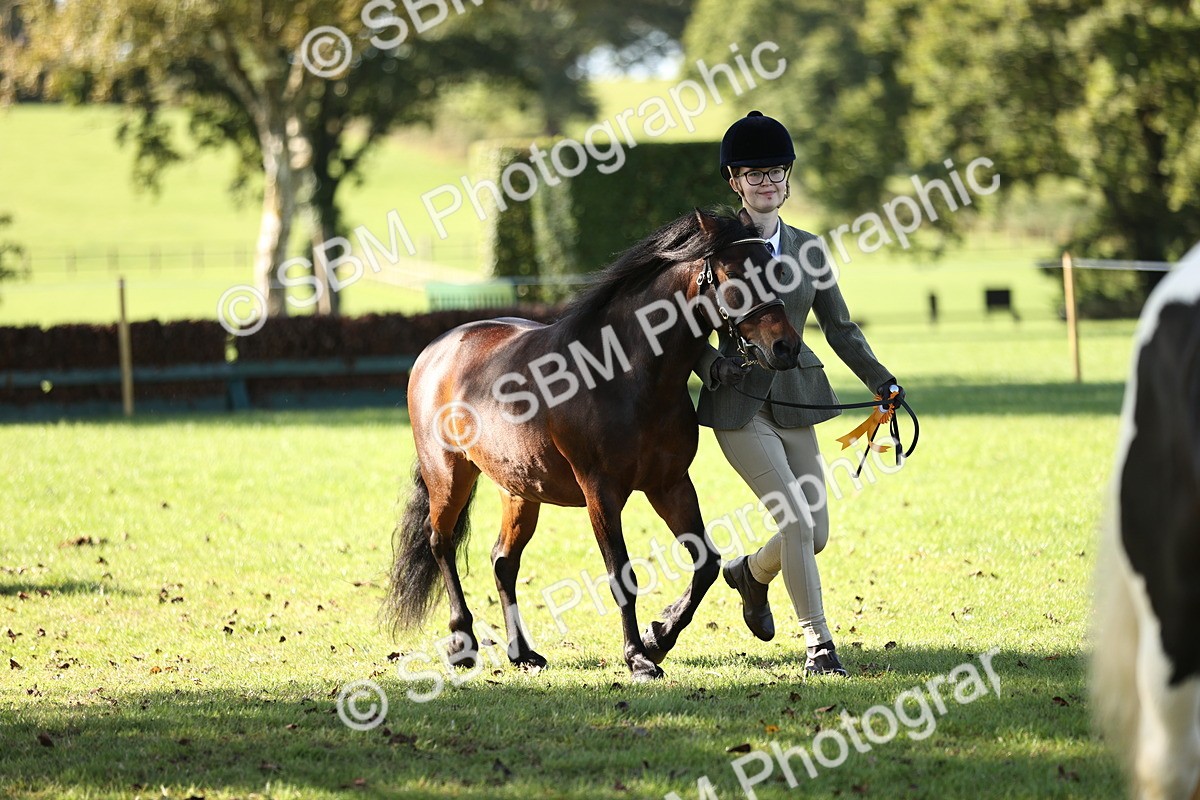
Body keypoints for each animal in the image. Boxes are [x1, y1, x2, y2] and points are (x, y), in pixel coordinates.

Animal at [384, 208, 803, 681]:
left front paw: (660, 636)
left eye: (775, 269)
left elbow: (707, 563)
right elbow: (621, 575)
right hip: (449, 474)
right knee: (442, 543)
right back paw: (462, 642)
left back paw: (522, 652)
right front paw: (638, 657)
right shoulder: (601, 492)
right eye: (734, 274)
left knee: (503, 561)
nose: (786, 347)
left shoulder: (670, 485)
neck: (627, 374)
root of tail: (436, 351)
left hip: (519, 489)